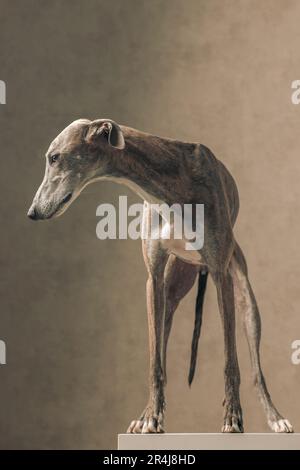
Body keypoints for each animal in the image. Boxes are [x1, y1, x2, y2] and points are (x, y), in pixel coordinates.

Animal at [28, 119, 292, 436]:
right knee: (162, 347)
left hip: (243, 295)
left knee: (255, 367)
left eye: (54, 158)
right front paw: (152, 418)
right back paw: (146, 414)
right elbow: (155, 362)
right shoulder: (153, 278)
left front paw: (232, 417)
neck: (166, 186)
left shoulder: (220, 274)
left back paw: (275, 417)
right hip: (171, 290)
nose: (32, 212)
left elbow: (230, 359)